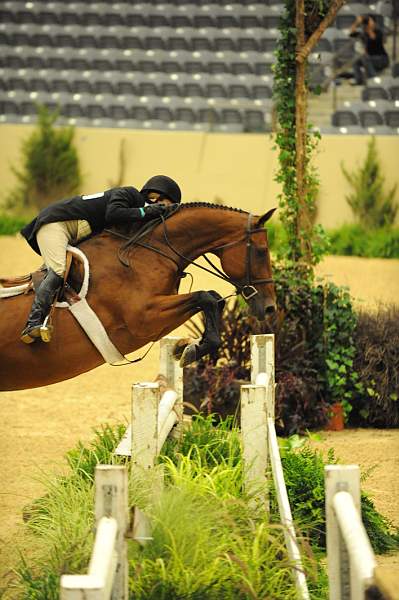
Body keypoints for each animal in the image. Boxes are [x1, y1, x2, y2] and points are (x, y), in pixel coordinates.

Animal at [0, 204, 276, 392]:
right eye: (262, 252)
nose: (270, 308)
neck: (147, 253)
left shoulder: (156, 321)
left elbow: (214, 299)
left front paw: (187, 347)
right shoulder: (144, 318)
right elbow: (206, 297)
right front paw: (191, 350)